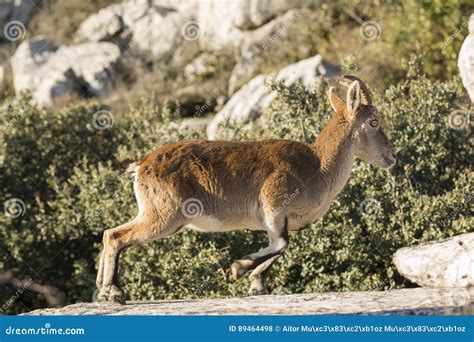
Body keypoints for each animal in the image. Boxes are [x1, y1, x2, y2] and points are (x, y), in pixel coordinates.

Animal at [96, 75, 396, 302]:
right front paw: (239, 269)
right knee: (117, 237)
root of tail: (142, 165)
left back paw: (102, 287)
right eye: (373, 121)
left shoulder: (280, 221)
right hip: (165, 216)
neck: (319, 165)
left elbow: (279, 247)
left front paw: (256, 284)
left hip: (151, 211)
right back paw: (114, 292)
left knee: (109, 232)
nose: (391, 156)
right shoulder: (274, 204)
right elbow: (281, 244)